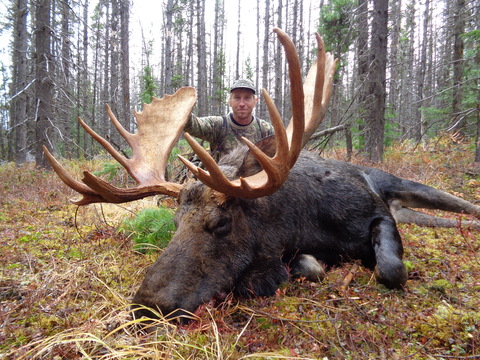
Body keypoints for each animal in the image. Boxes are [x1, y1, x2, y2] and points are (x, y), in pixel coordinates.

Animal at [43, 28, 478, 320]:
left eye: (220, 224)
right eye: (175, 221)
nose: (149, 303)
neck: (299, 222)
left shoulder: (375, 212)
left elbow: (390, 269)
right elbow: (307, 265)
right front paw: (312, 264)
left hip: (403, 185)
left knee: (462, 206)